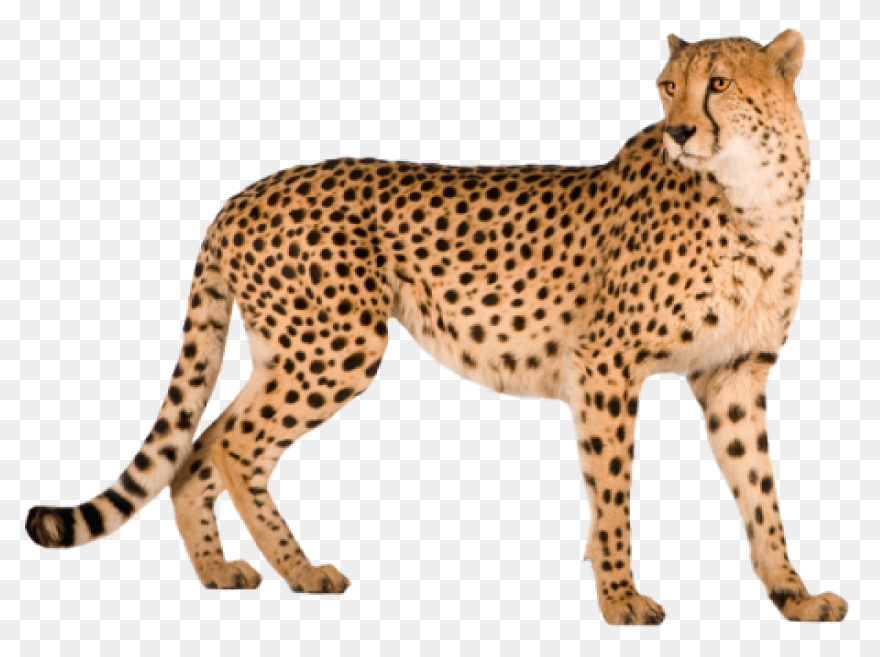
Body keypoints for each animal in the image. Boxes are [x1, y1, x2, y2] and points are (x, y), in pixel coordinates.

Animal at [26, 30, 847, 624]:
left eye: (720, 84)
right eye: (667, 85)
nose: (678, 130)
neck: (754, 194)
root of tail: (241, 194)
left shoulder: (733, 373)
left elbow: (760, 492)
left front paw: (792, 593)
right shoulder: (604, 366)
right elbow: (613, 492)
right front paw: (619, 596)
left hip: (289, 350)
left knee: (197, 446)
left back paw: (219, 571)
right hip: (337, 346)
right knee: (231, 445)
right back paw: (302, 571)